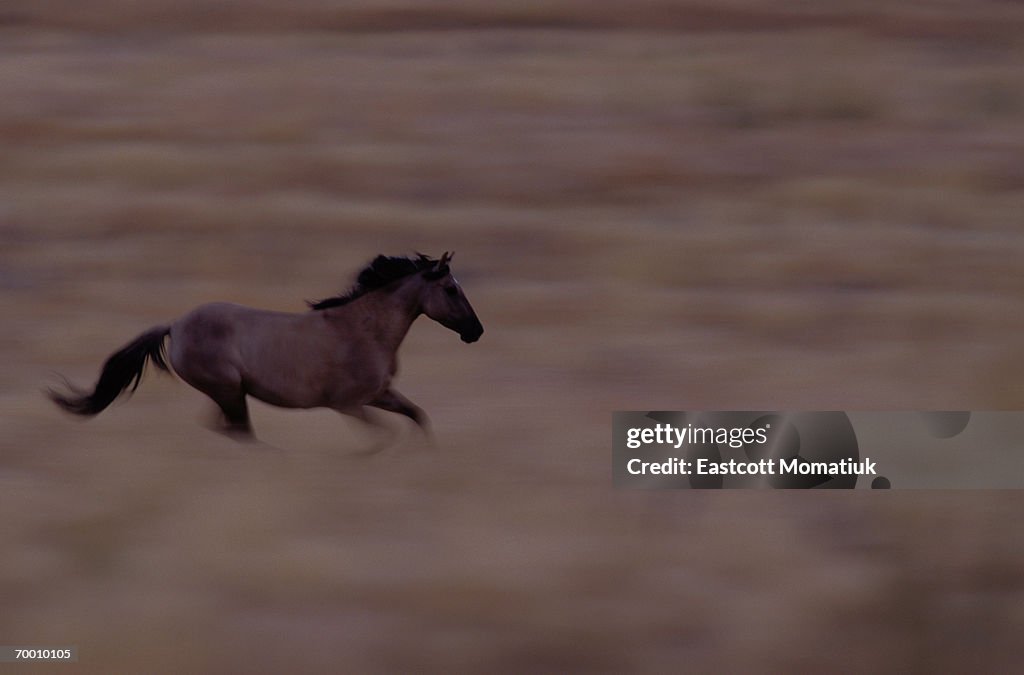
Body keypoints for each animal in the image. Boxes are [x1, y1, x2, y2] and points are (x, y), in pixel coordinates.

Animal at [46, 250, 481, 446]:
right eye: (450, 289)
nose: (476, 331)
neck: (364, 332)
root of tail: (176, 325)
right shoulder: (350, 404)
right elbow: (382, 438)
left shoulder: (381, 394)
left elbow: (418, 417)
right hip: (228, 391)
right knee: (240, 432)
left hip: (229, 393)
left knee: (225, 428)